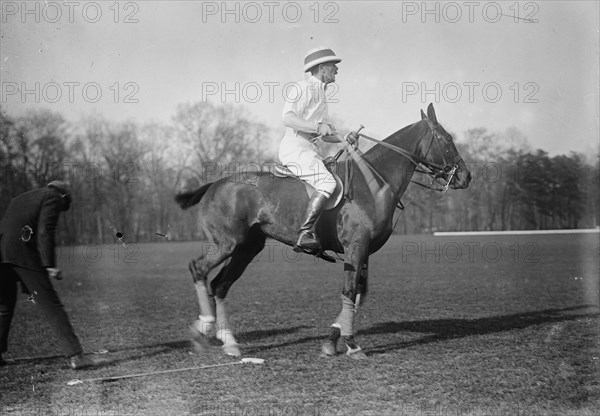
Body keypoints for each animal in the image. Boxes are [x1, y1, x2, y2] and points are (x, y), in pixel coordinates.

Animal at [176, 103, 472, 358]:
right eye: (446, 139)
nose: (466, 177)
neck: (375, 184)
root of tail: (215, 183)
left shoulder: (364, 250)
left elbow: (360, 292)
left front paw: (333, 341)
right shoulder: (355, 246)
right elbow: (350, 292)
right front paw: (351, 344)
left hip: (248, 248)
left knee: (220, 285)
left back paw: (229, 342)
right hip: (227, 243)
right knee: (198, 269)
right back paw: (204, 327)